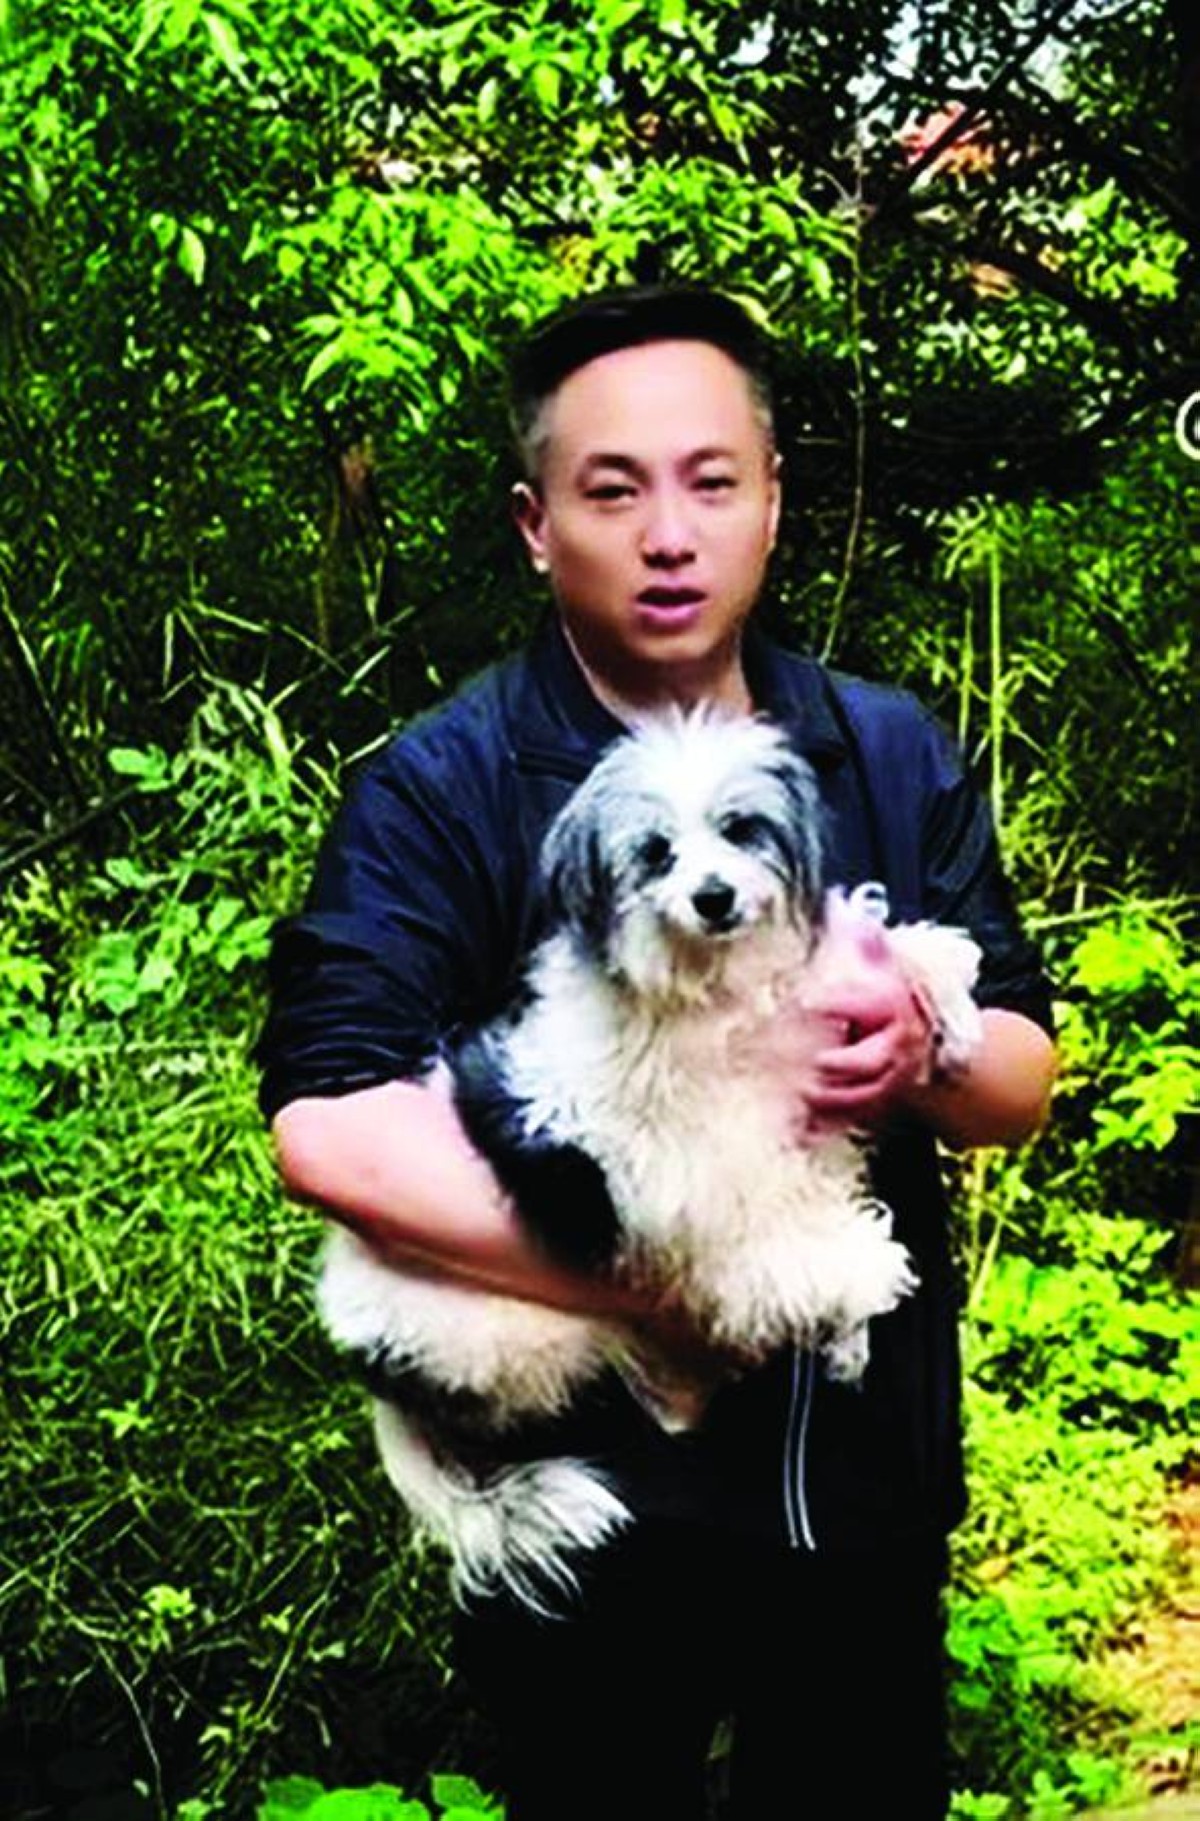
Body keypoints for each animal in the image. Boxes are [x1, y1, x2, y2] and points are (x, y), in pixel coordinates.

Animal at [317, 711, 982, 1612]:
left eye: (739, 828)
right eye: (657, 852)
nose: (715, 896)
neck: (718, 993)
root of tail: (378, 1370)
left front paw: (944, 998)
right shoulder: (693, 1174)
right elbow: (783, 1239)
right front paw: (861, 1275)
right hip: (527, 1329)